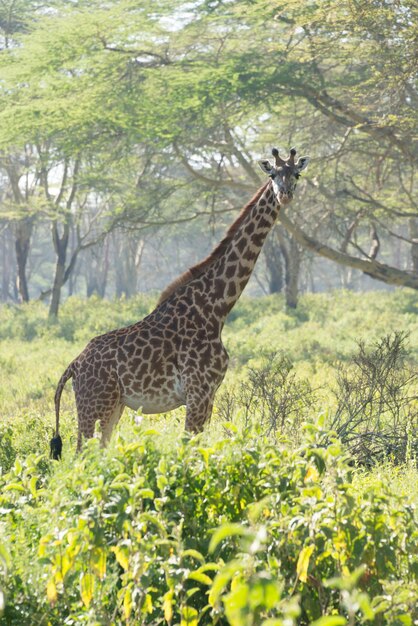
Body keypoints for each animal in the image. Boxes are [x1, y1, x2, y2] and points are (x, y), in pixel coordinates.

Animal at [50, 146, 308, 458]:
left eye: (296, 174)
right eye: (273, 175)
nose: (285, 195)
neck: (216, 308)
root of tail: (74, 365)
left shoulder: (209, 394)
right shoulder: (198, 392)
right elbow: (190, 450)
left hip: (113, 407)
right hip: (95, 405)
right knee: (80, 456)